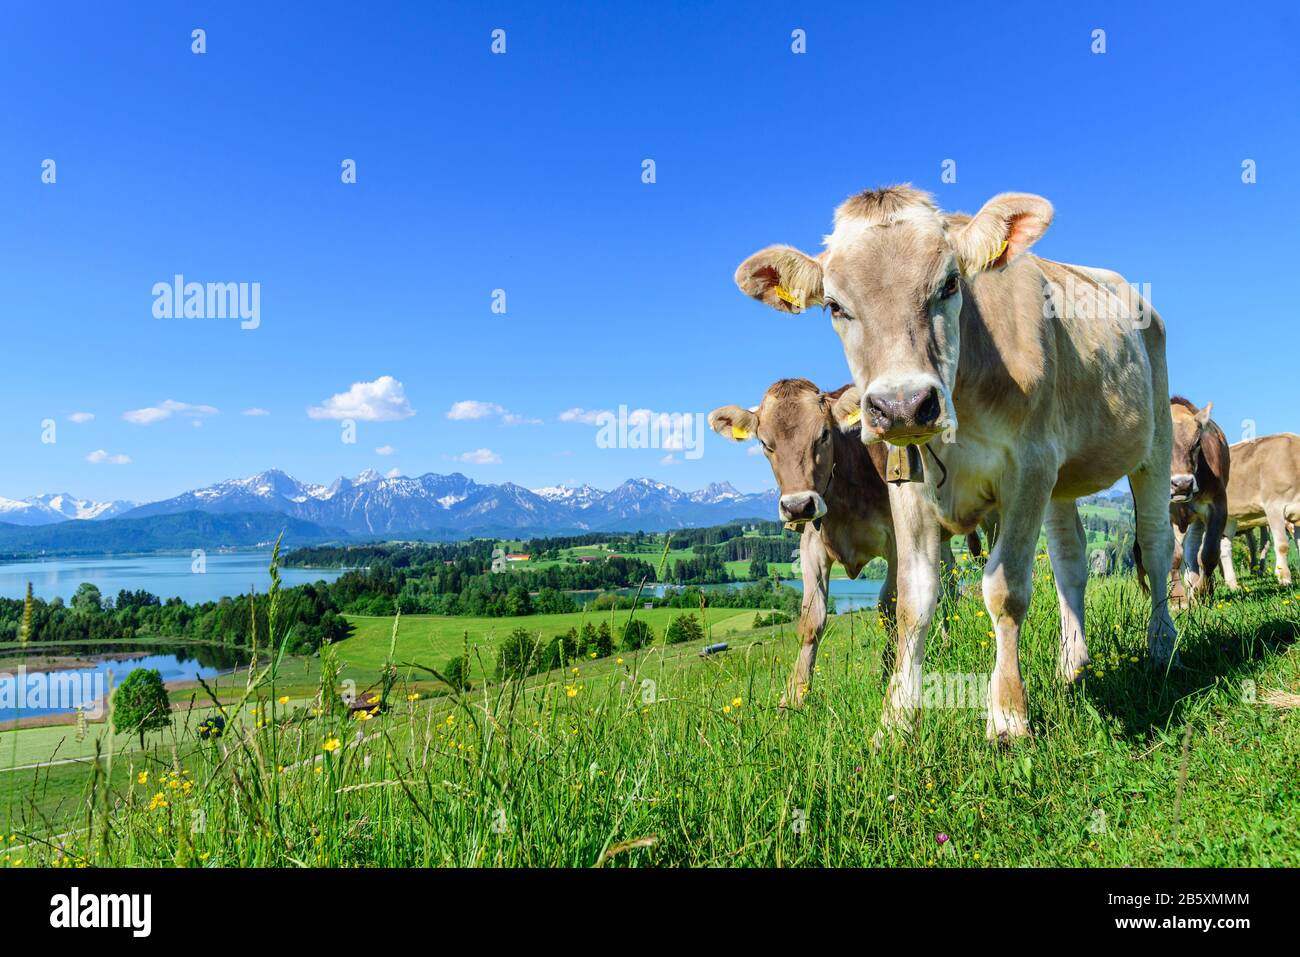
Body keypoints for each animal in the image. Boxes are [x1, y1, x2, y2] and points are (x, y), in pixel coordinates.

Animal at [733, 184, 1180, 738]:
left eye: (949, 282)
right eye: (835, 306)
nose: (902, 405)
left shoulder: (1027, 469)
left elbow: (1006, 591)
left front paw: (1008, 716)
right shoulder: (909, 484)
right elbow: (913, 601)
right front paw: (896, 720)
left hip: (1154, 442)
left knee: (1156, 544)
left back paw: (1161, 647)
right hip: (1060, 479)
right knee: (1070, 561)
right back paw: (1071, 667)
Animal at [1211, 431, 1300, 587]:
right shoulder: (1273, 506)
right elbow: (1282, 545)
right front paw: (1284, 579)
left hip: (1229, 518)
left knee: (1224, 547)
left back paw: (1232, 584)